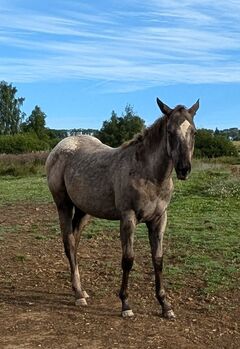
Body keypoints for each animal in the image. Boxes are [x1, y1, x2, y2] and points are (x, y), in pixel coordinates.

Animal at [45, 97, 199, 318]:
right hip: (63, 205)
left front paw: (165, 305)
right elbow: (128, 260)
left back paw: (80, 289)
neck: (149, 175)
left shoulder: (159, 219)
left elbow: (158, 260)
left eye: (193, 132)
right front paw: (126, 304)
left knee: (75, 240)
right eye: (170, 132)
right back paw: (78, 294)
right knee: (69, 243)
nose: (184, 169)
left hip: (84, 211)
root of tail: (59, 147)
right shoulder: (128, 218)